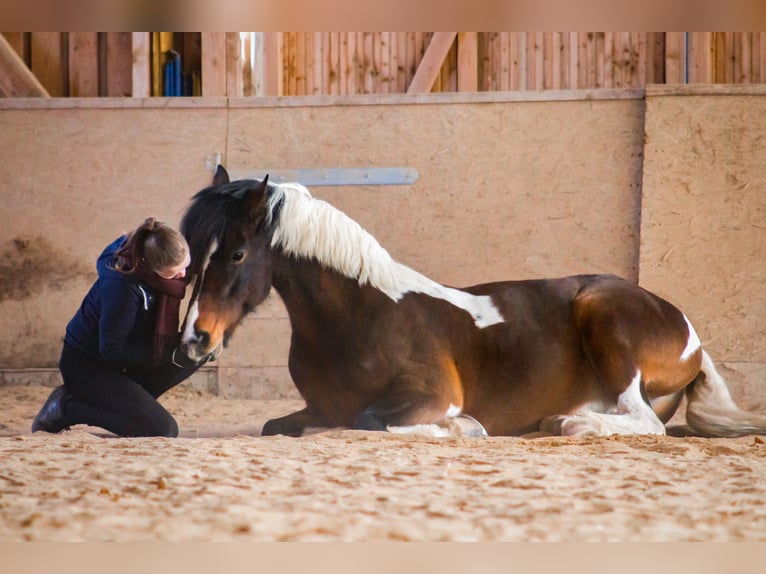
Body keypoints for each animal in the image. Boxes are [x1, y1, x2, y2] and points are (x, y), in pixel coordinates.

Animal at [182, 166, 766, 440]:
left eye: (236, 253)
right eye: (190, 255)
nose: (193, 339)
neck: (360, 315)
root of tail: (685, 329)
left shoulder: (430, 395)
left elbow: (369, 420)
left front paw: (466, 428)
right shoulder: (317, 407)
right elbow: (282, 425)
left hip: (604, 315)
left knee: (644, 420)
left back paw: (570, 424)